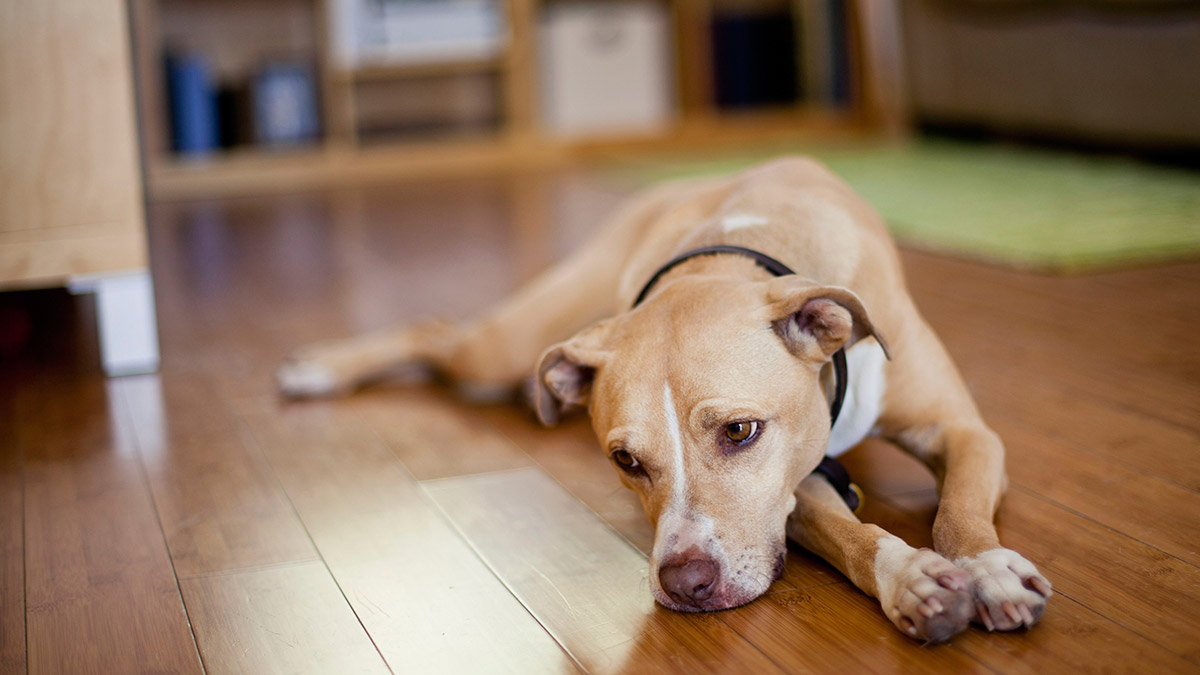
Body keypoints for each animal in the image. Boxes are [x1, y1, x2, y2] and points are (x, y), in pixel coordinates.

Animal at [278, 157, 1051, 638]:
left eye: (740, 431)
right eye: (624, 460)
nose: (685, 582)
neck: (736, 250)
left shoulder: (961, 430)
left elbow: (960, 510)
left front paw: (988, 570)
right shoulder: (791, 493)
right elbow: (851, 534)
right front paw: (911, 579)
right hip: (509, 342)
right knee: (436, 329)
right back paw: (317, 369)